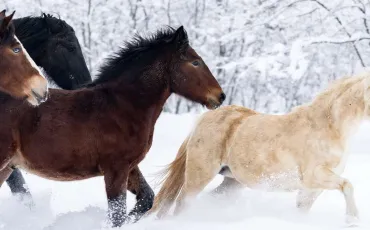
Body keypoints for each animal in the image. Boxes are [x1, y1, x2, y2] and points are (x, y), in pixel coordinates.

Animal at [150, 74, 370, 224]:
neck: (329, 127)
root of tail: (204, 119)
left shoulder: (311, 189)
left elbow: (302, 209)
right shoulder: (313, 176)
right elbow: (347, 185)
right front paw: (353, 219)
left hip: (232, 183)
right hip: (199, 176)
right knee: (182, 203)